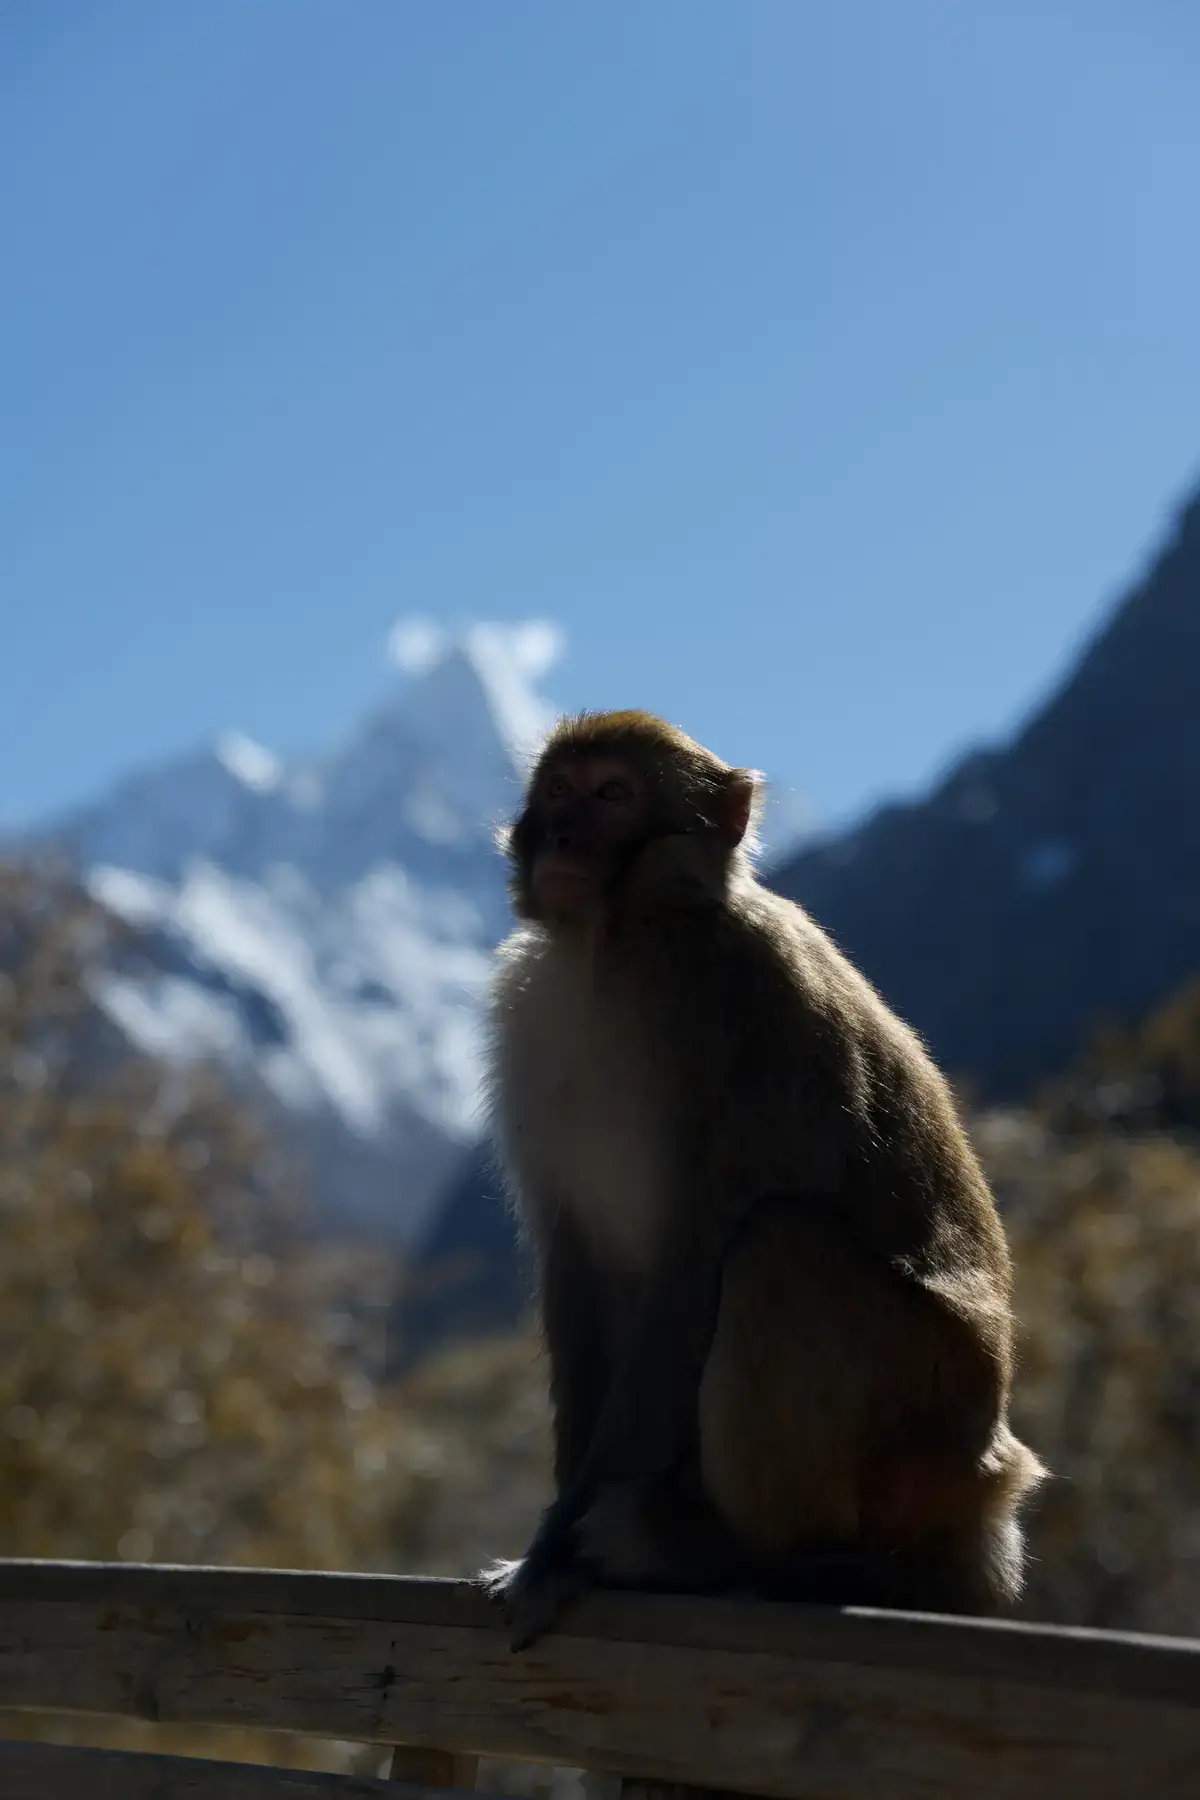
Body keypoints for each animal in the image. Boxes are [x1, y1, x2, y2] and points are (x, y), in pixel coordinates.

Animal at [478, 709, 1045, 1650]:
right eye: (559, 791)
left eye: (612, 795)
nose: (561, 836)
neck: (617, 939)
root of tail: (987, 1499)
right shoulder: (533, 1022)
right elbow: (577, 1257)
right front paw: (554, 1530)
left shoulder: (738, 1012)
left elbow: (694, 1262)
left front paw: (552, 1553)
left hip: (922, 1435)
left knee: (782, 1247)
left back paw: (747, 1558)